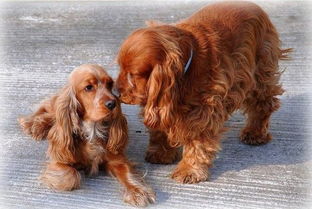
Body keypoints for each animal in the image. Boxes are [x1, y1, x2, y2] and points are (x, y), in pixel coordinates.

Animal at [19, 64, 155, 207]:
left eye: (109, 84)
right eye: (89, 87)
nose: (113, 103)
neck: (93, 129)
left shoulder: (118, 159)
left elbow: (127, 173)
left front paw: (137, 192)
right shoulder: (58, 161)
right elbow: (70, 177)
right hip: (59, 102)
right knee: (48, 111)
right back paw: (34, 125)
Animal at [116, 2, 292, 185]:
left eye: (133, 75)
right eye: (120, 68)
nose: (115, 92)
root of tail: (255, 6)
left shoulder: (203, 110)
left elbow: (197, 141)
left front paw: (189, 170)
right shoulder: (158, 100)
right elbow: (159, 127)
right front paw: (161, 153)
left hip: (260, 74)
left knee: (263, 105)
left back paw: (255, 133)